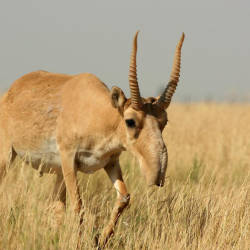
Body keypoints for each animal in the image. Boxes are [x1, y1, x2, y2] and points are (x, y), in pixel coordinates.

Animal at [0, 31, 184, 246]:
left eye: (164, 121)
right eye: (130, 121)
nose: (157, 174)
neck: (97, 113)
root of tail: (10, 93)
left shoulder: (110, 162)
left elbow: (124, 197)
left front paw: (101, 240)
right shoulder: (69, 160)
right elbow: (78, 207)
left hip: (58, 173)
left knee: (56, 207)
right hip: (8, 157)